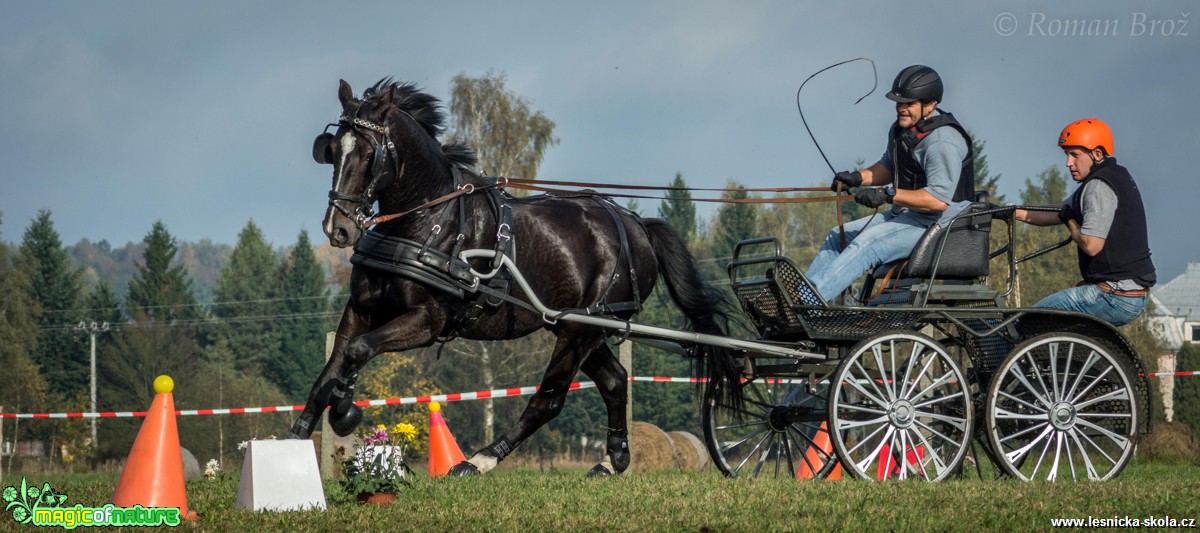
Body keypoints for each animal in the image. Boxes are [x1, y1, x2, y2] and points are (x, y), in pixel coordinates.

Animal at [290, 78, 739, 475]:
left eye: (370, 154)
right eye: (333, 150)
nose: (338, 228)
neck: (428, 221)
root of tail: (636, 225)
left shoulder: (427, 321)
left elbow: (358, 352)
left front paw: (344, 409)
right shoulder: (361, 309)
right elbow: (329, 370)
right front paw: (293, 446)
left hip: (581, 330)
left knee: (549, 400)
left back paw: (480, 460)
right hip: (583, 327)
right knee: (614, 381)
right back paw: (613, 460)